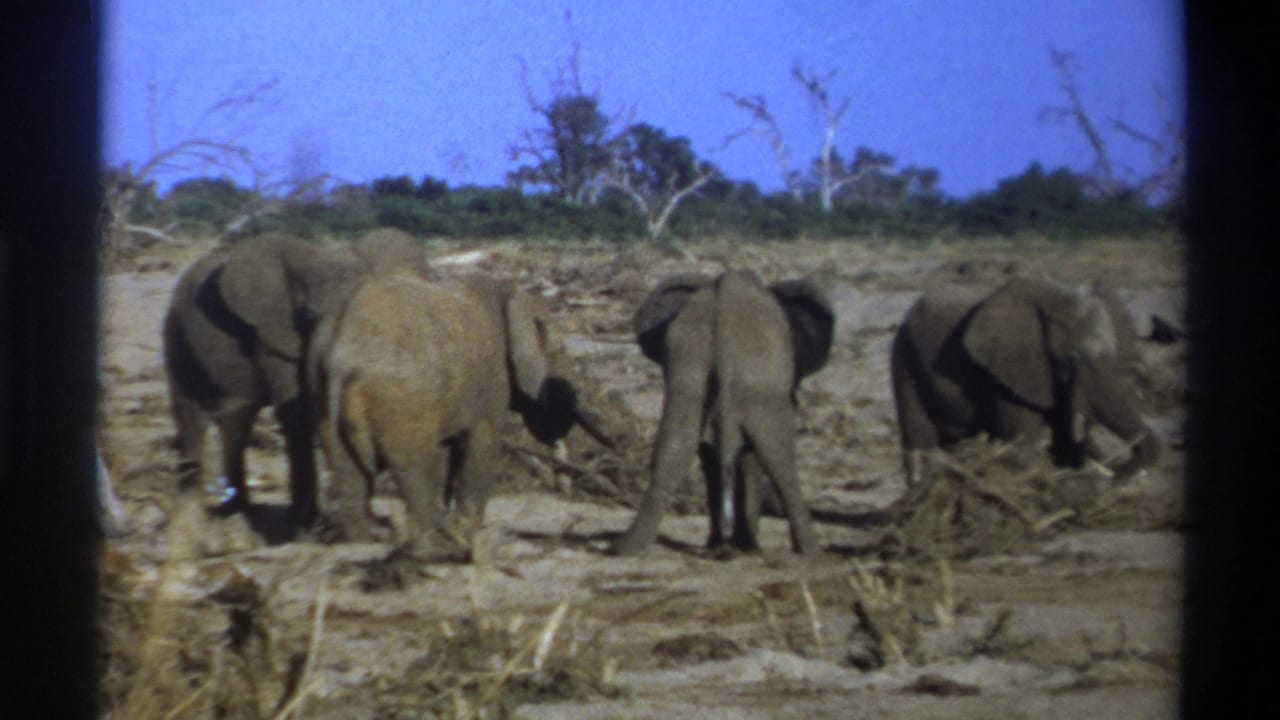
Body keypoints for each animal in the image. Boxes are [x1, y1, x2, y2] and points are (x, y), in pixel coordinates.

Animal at [162, 233, 374, 527]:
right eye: (309, 317)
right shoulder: (271, 332)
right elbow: (296, 414)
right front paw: (303, 523)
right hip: (177, 335)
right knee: (192, 416)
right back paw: (194, 513)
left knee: (236, 422)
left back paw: (238, 510)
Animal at [312, 270, 611, 560]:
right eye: (558, 357)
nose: (612, 444)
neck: (510, 293)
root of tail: (344, 357)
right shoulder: (491, 381)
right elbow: (483, 444)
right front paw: (466, 531)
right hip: (401, 402)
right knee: (416, 468)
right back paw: (431, 546)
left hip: (324, 395)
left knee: (348, 471)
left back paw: (362, 541)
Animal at [610, 270, 835, 557]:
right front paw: (746, 546)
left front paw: (732, 545)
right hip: (757, 380)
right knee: (779, 456)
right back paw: (811, 552)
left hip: (690, 369)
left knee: (675, 446)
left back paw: (627, 548)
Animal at [890, 276, 1162, 486]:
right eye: (1072, 358)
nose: (1118, 478)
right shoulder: (1007, 372)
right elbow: (1023, 442)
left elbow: (1065, 443)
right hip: (903, 357)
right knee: (920, 437)